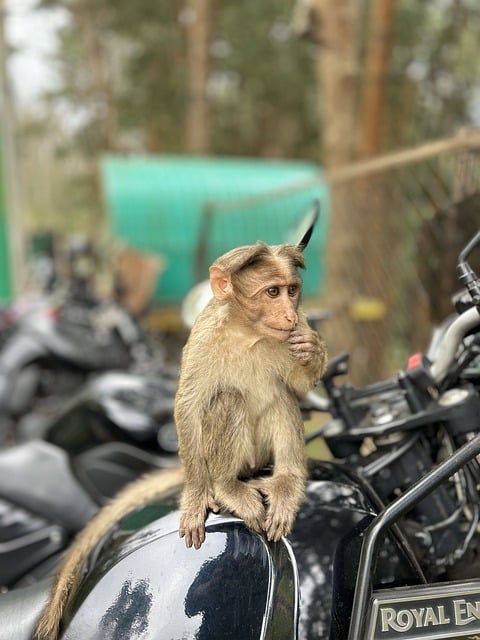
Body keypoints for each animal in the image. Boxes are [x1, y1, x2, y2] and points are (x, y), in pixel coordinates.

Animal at [174, 238, 328, 548]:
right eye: (272, 292)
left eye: (292, 290)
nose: (289, 314)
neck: (247, 333)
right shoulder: (204, 339)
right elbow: (189, 407)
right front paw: (196, 495)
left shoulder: (299, 326)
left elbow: (298, 384)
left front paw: (313, 350)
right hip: (243, 459)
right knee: (228, 399)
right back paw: (226, 486)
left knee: (282, 397)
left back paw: (287, 480)